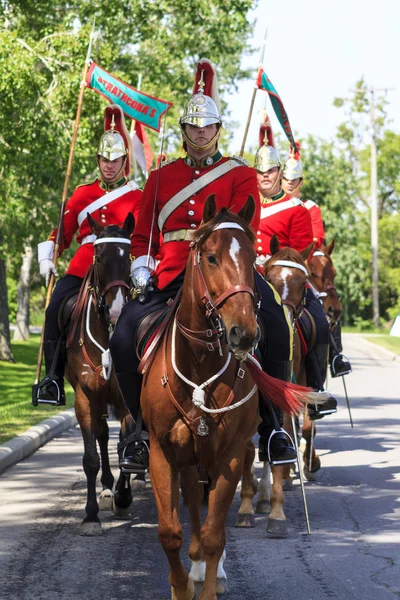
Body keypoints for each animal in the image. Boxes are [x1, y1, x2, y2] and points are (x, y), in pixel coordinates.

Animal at [141, 197, 322, 600]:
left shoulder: (230, 453)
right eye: (210, 257)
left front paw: (210, 580)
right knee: (195, 503)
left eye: (252, 260)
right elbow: (171, 532)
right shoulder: (163, 452)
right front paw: (182, 585)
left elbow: (214, 534)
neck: (199, 366)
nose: (244, 333)